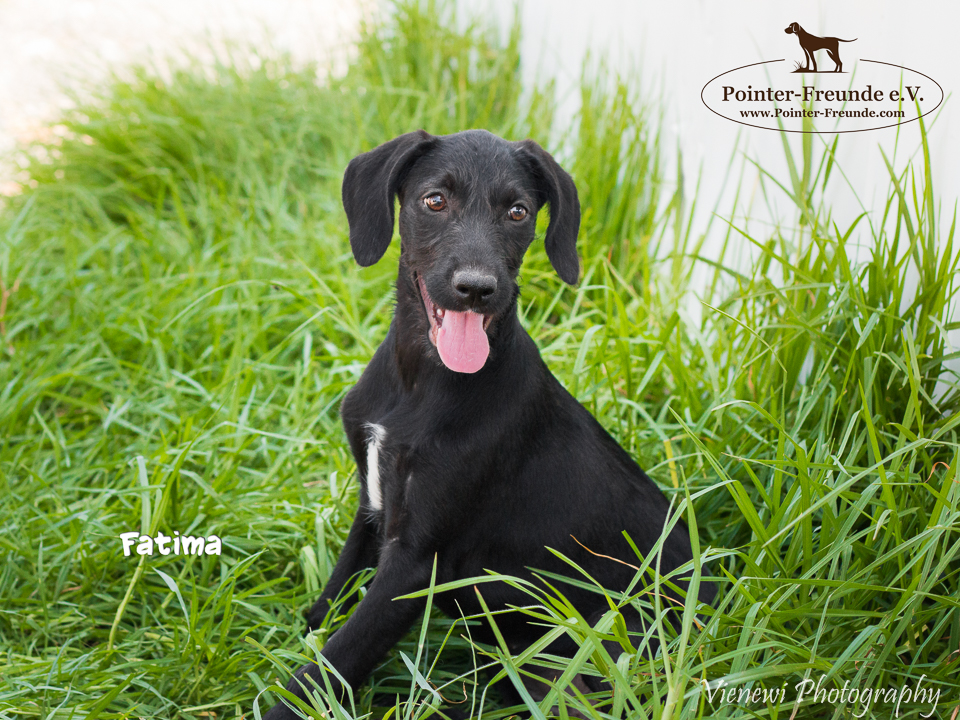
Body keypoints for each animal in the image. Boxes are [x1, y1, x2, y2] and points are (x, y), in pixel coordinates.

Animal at [262, 129, 716, 719]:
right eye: (434, 201)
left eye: (518, 212)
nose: (476, 288)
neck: (419, 384)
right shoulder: (372, 508)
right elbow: (329, 606)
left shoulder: (416, 563)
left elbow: (331, 663)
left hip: (577, 660)